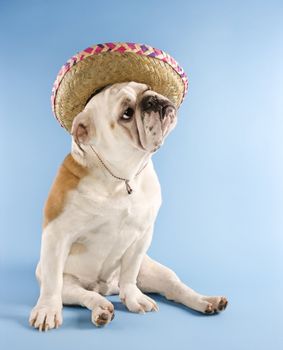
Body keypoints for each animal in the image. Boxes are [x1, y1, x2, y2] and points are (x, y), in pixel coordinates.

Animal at [28, 80, 229, 330]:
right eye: (127, 113)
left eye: (147, 88)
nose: (153, 100)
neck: (122, 176)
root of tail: (106, 288)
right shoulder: (57, 234)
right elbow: (52, 283)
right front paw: (47, 310)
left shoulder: (142, 234)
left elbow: (130, 273)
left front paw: (134, 298)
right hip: (70, 286)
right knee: (84, 295)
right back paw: (101, 309)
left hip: (157, 270)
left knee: (174, 288)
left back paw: (206, 301)